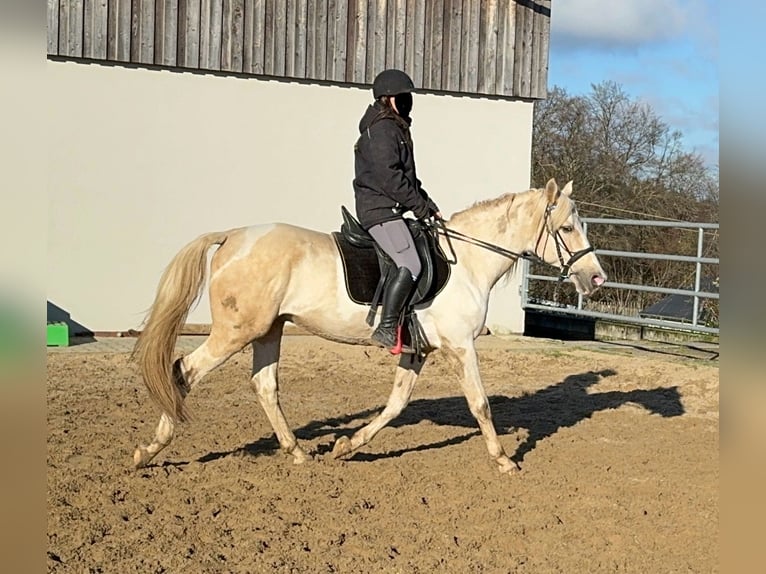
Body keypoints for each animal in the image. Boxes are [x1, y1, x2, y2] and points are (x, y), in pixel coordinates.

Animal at [135, 180, 608, 476]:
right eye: (567, 227)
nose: (597, 279)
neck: (469, 263)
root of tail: (233, 235)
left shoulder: (418, 351)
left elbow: (395, 405)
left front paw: (347, 445)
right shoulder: (460, 347)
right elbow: (480, 405)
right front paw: (504, 460)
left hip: (269, 330)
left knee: (265, 386)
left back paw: (298, 453)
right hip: (236, 331)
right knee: (183, 372)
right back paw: (148, 450)